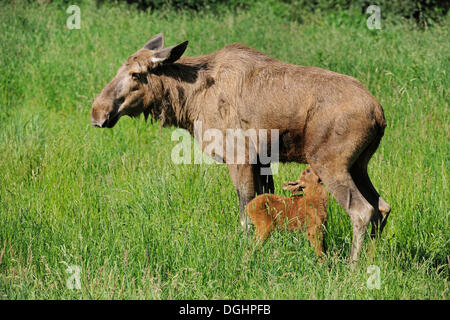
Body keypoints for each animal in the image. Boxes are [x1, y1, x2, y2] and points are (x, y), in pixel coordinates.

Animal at [90, 33, 390, 262]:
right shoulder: (262, 160)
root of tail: (379, 113)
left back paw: (352, 267)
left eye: (136, 74)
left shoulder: (240, 156)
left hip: (329, 163)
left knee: (363, 211)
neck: (187, 102)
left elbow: (246, 214)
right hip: (359, 165)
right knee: (382, 207)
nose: (98, 113)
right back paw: (372, 260)